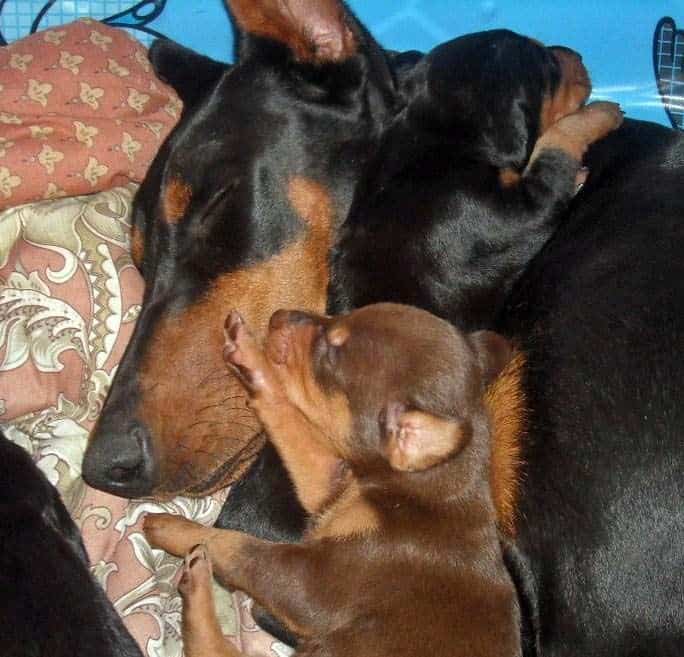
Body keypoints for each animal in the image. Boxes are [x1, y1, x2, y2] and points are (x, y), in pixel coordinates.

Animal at [144, 304, 520, 656]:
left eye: (331, 351)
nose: (279, 316)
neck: (413, 493)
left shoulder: (310, 580)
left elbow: (235, 545)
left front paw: (179, 531)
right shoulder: (332, 485)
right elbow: (289, 420)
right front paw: (249, 355)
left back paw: (194, 580)